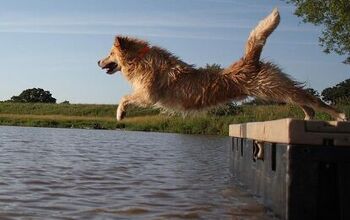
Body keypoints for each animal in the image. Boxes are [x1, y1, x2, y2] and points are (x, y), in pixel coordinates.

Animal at [98, 8, 344, 121]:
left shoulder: (148, 95)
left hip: (273, 87)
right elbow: (125, 96)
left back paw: (339, 115)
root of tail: (249, 60)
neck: (140, 60)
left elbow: (124, 97)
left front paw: (120, 114)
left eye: (109, 53)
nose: (97, 61)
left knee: (311, 98)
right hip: (276, 91)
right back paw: (309, 116)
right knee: (303, 100)